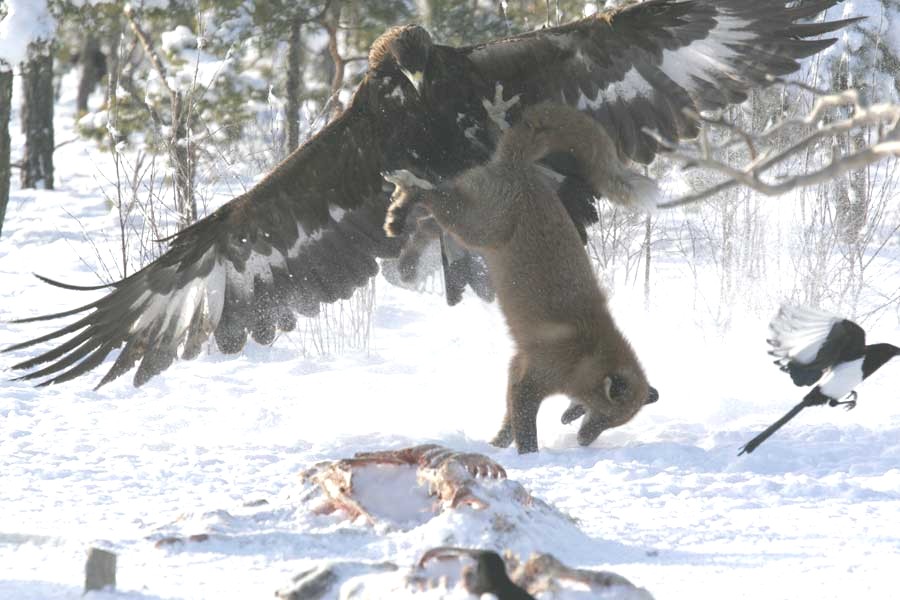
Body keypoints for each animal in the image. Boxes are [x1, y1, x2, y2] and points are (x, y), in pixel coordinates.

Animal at [383, 102, 658, 453]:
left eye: (611, 424)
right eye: (603, 416)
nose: (583, 441)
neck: (583, 354)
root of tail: (519, 165)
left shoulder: (516, 366)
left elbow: (508, 424)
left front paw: (495, 448)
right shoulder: (531, 380)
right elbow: (525, 430)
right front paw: (528, 458)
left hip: (469, 229)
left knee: (428, 214)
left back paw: (398, 215)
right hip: (475, 227)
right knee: (431, 198)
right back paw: (407, 192)